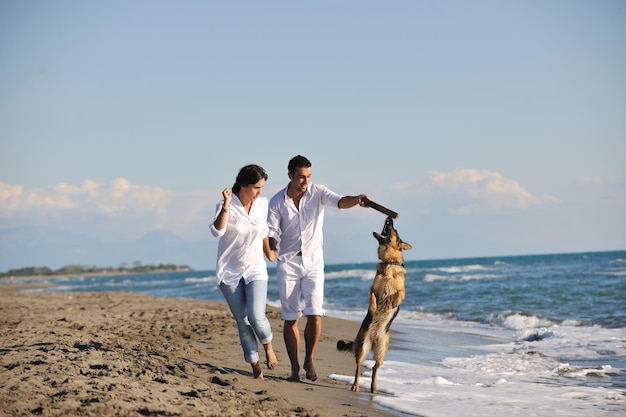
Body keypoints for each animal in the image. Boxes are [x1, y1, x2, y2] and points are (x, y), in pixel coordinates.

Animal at [336, 216, 410, 392]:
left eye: (394, 230)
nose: (389, 218)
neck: (389, 262)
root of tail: (375, 340)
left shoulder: (402, 290)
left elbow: (400, 294)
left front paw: (393, 302)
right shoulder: (373, 289)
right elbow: (372, 298)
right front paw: (373, 308)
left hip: (381, 352)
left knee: (375, 368)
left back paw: (374, 387)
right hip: (363, 347)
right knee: (358, 368)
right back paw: (356, 385)